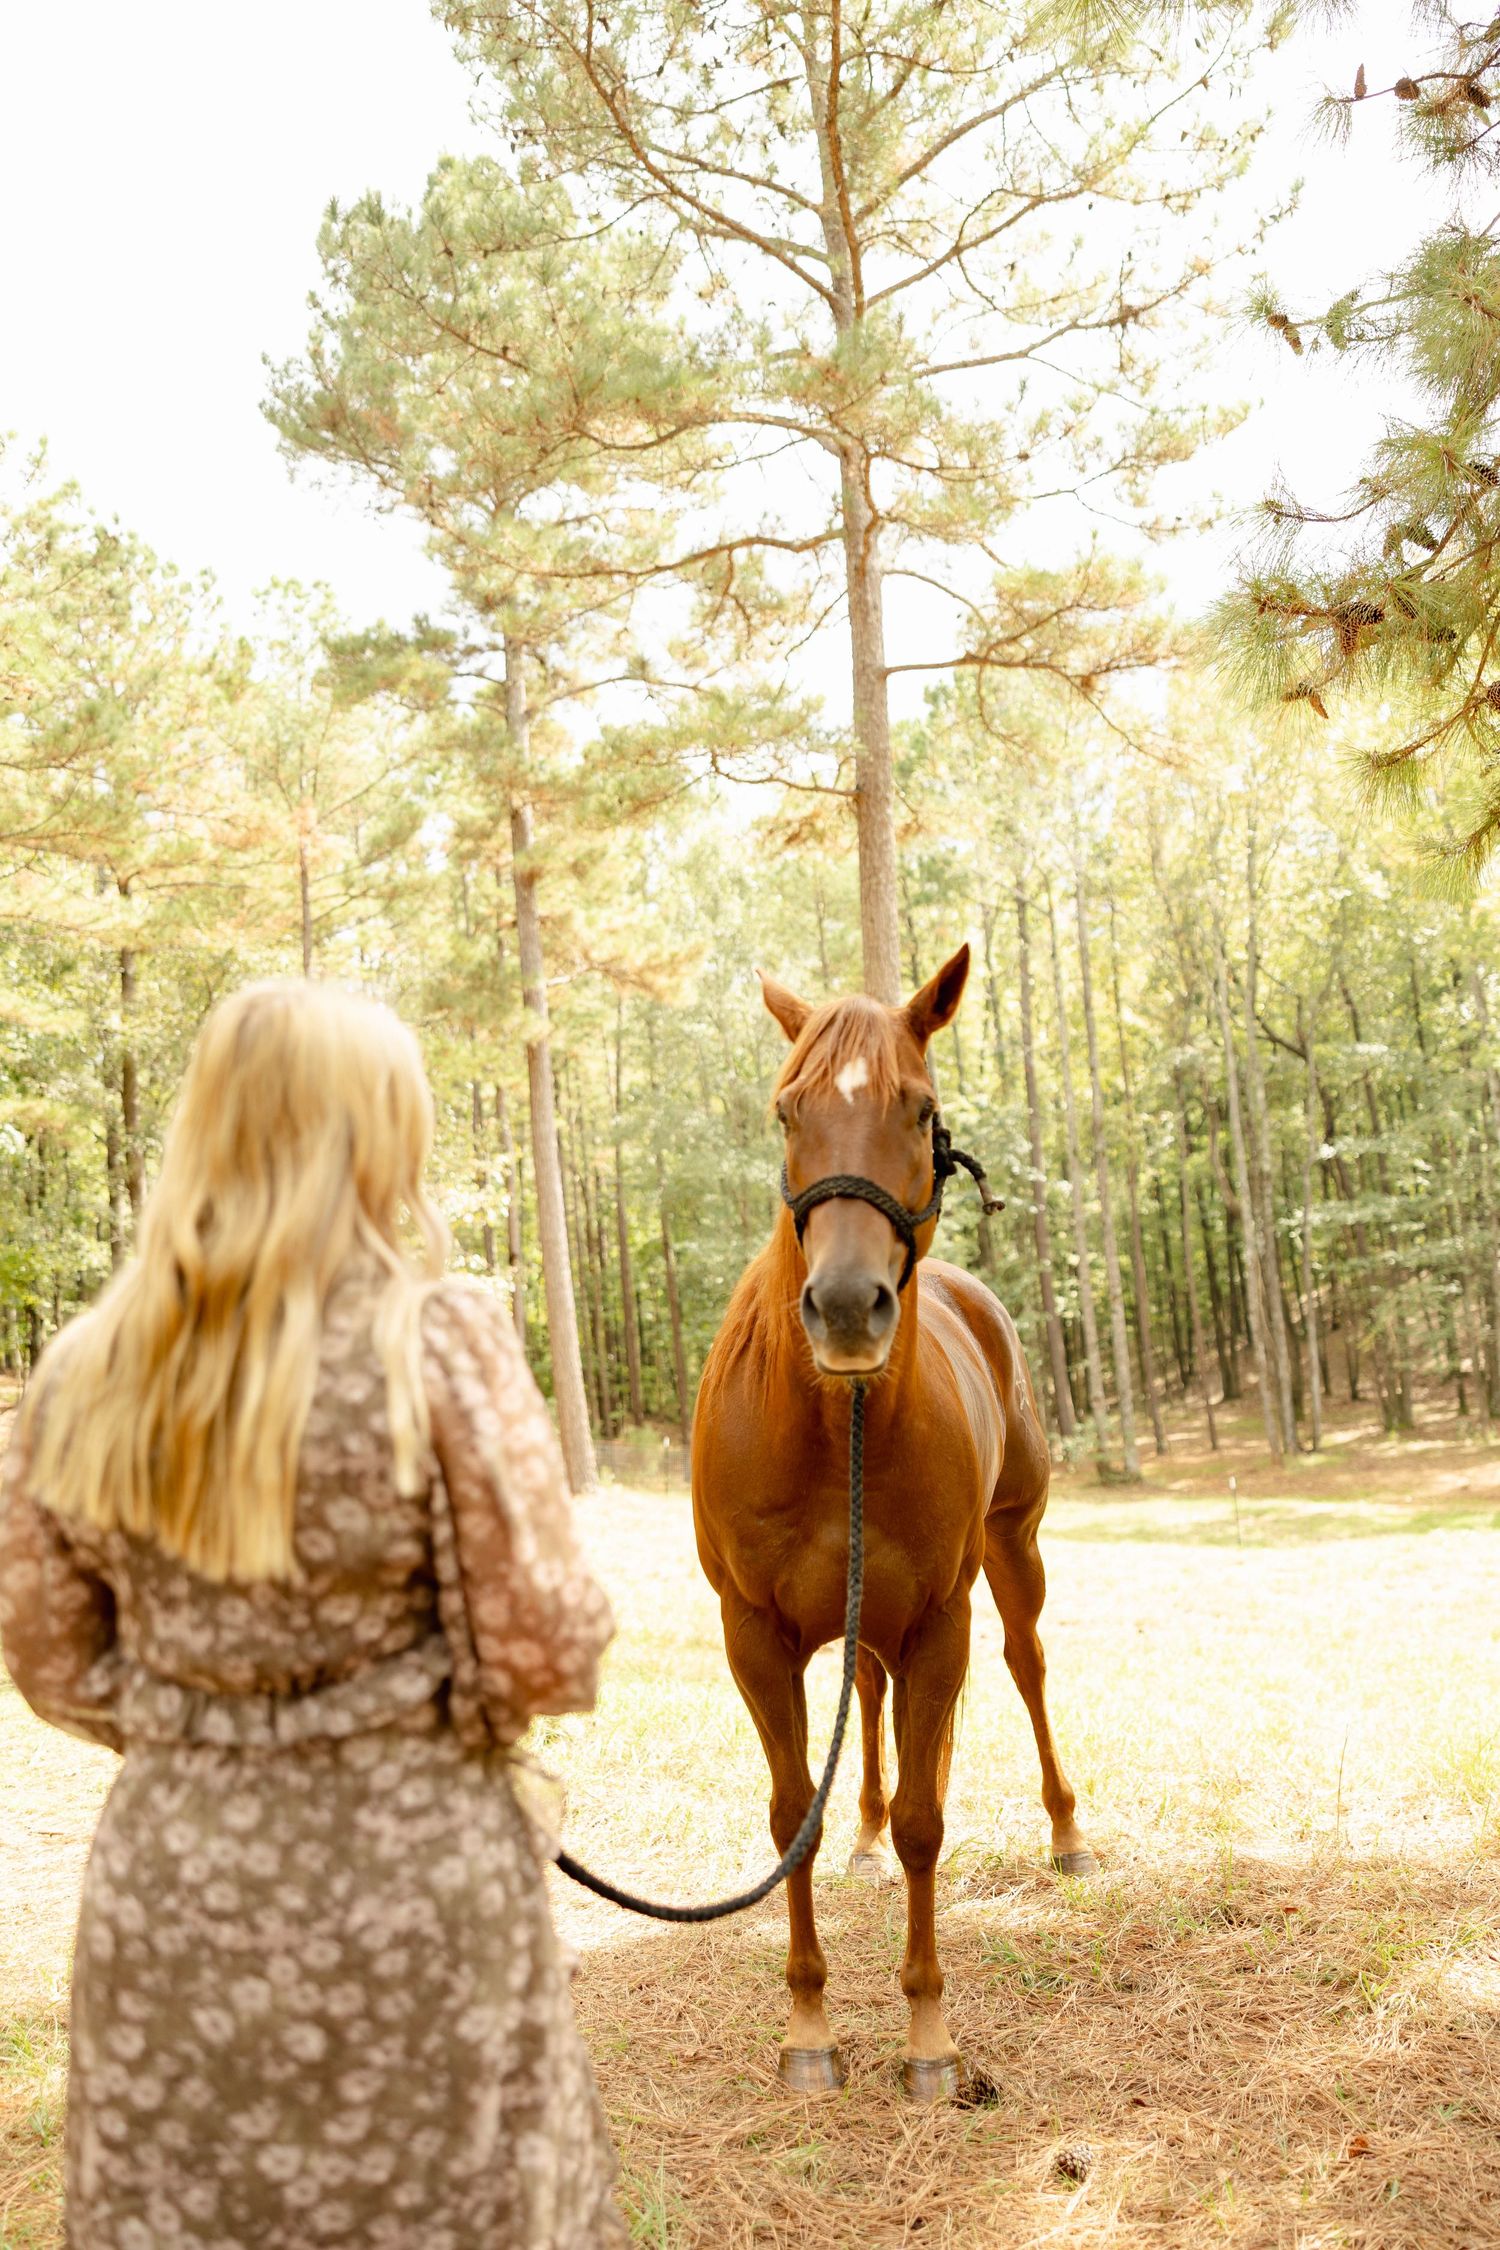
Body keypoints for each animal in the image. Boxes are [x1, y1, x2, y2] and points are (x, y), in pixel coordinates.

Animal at [691, 943, 1095, 2100]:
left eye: (920, 1111)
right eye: (787, 1112)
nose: (843, 1307)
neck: (836, 1424)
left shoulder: (939, 1625)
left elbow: (928, 1820)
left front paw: (927, 2035)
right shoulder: (754, 1635)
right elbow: (793, 1816)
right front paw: (808, 2026)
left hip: (1011, 1553)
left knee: (1027, 1664)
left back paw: (1067, 1831)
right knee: (867, 1703)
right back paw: (864, 1835)